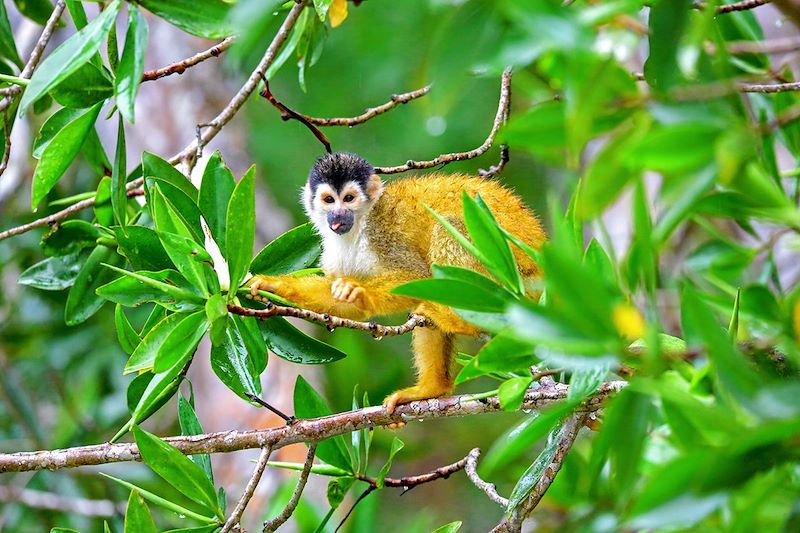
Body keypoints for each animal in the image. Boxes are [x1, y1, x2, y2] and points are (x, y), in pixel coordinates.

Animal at [247, 152, 544, 414]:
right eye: (329, 200)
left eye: (349, 199)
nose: (338, 215)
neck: (359, 226)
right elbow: (345, 305)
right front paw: (273, 286)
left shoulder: (382, 232)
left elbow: (415, 276)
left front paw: (360, 292)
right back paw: (432, 389)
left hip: (509, 274)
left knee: (449, 229)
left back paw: (459, 319)